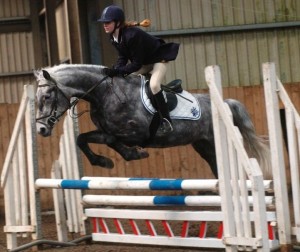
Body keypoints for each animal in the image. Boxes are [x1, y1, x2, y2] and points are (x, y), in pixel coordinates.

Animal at [34, 64, 270, 178]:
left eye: (47, 97)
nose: (41, 130)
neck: (104, 93)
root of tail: (225, 103)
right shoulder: (105, 131)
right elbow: (82, 139)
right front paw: (106, 161)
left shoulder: (136, 134)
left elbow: (110, 140)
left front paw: (132, 154)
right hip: (204, 146)